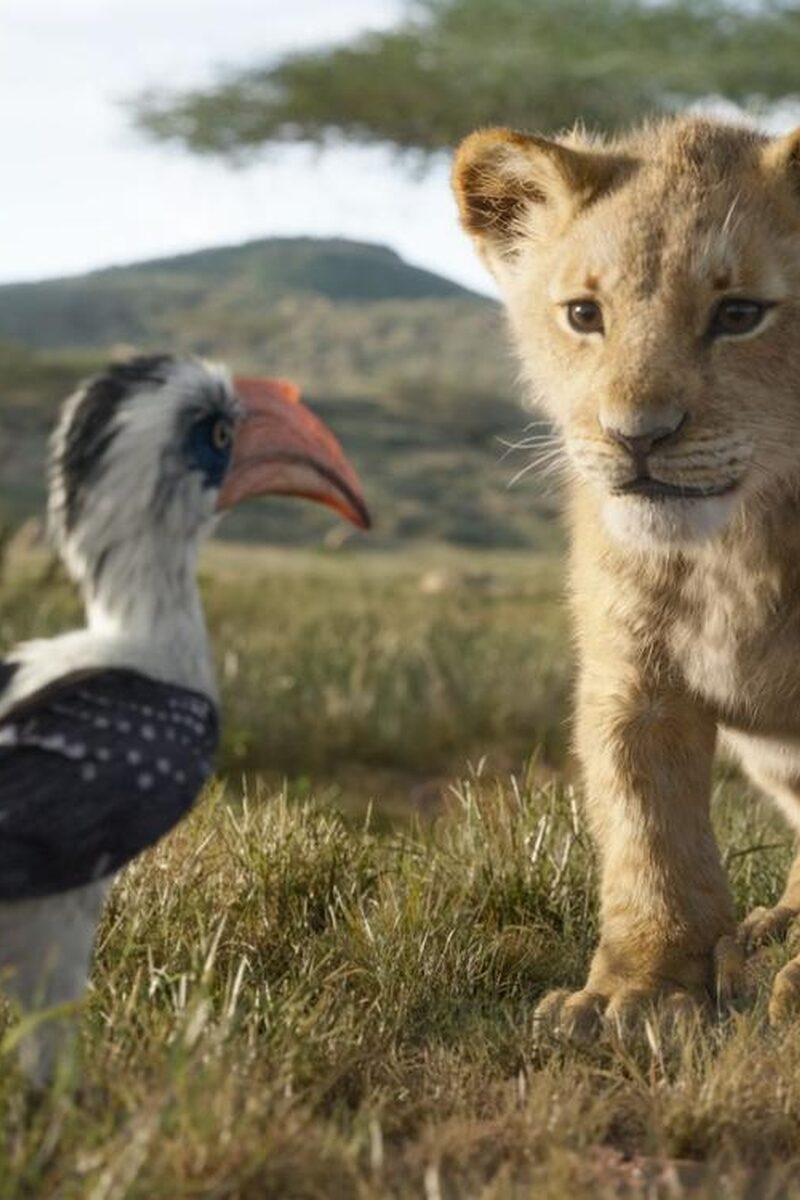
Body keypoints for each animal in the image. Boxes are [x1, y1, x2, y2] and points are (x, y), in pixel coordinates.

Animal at [452, 114, 800, 1036]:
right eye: (584, 314)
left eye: (740, 313)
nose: (635, 436)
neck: (734, 549)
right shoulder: (631, 676)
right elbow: (649, 831)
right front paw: (640, 990)